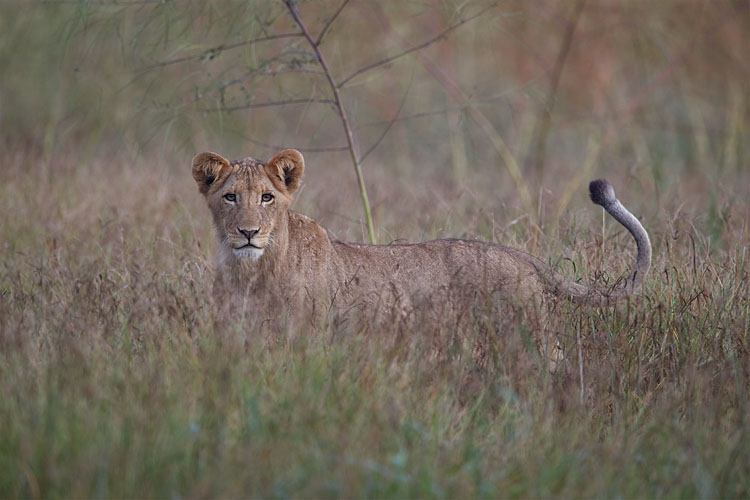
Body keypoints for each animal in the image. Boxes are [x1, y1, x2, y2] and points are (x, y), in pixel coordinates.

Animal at [192, 149, 651, 365]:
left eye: (267, 198)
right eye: (230, 197)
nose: (248, 233)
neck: (251, 274)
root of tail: (517, 255)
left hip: (529, 341)